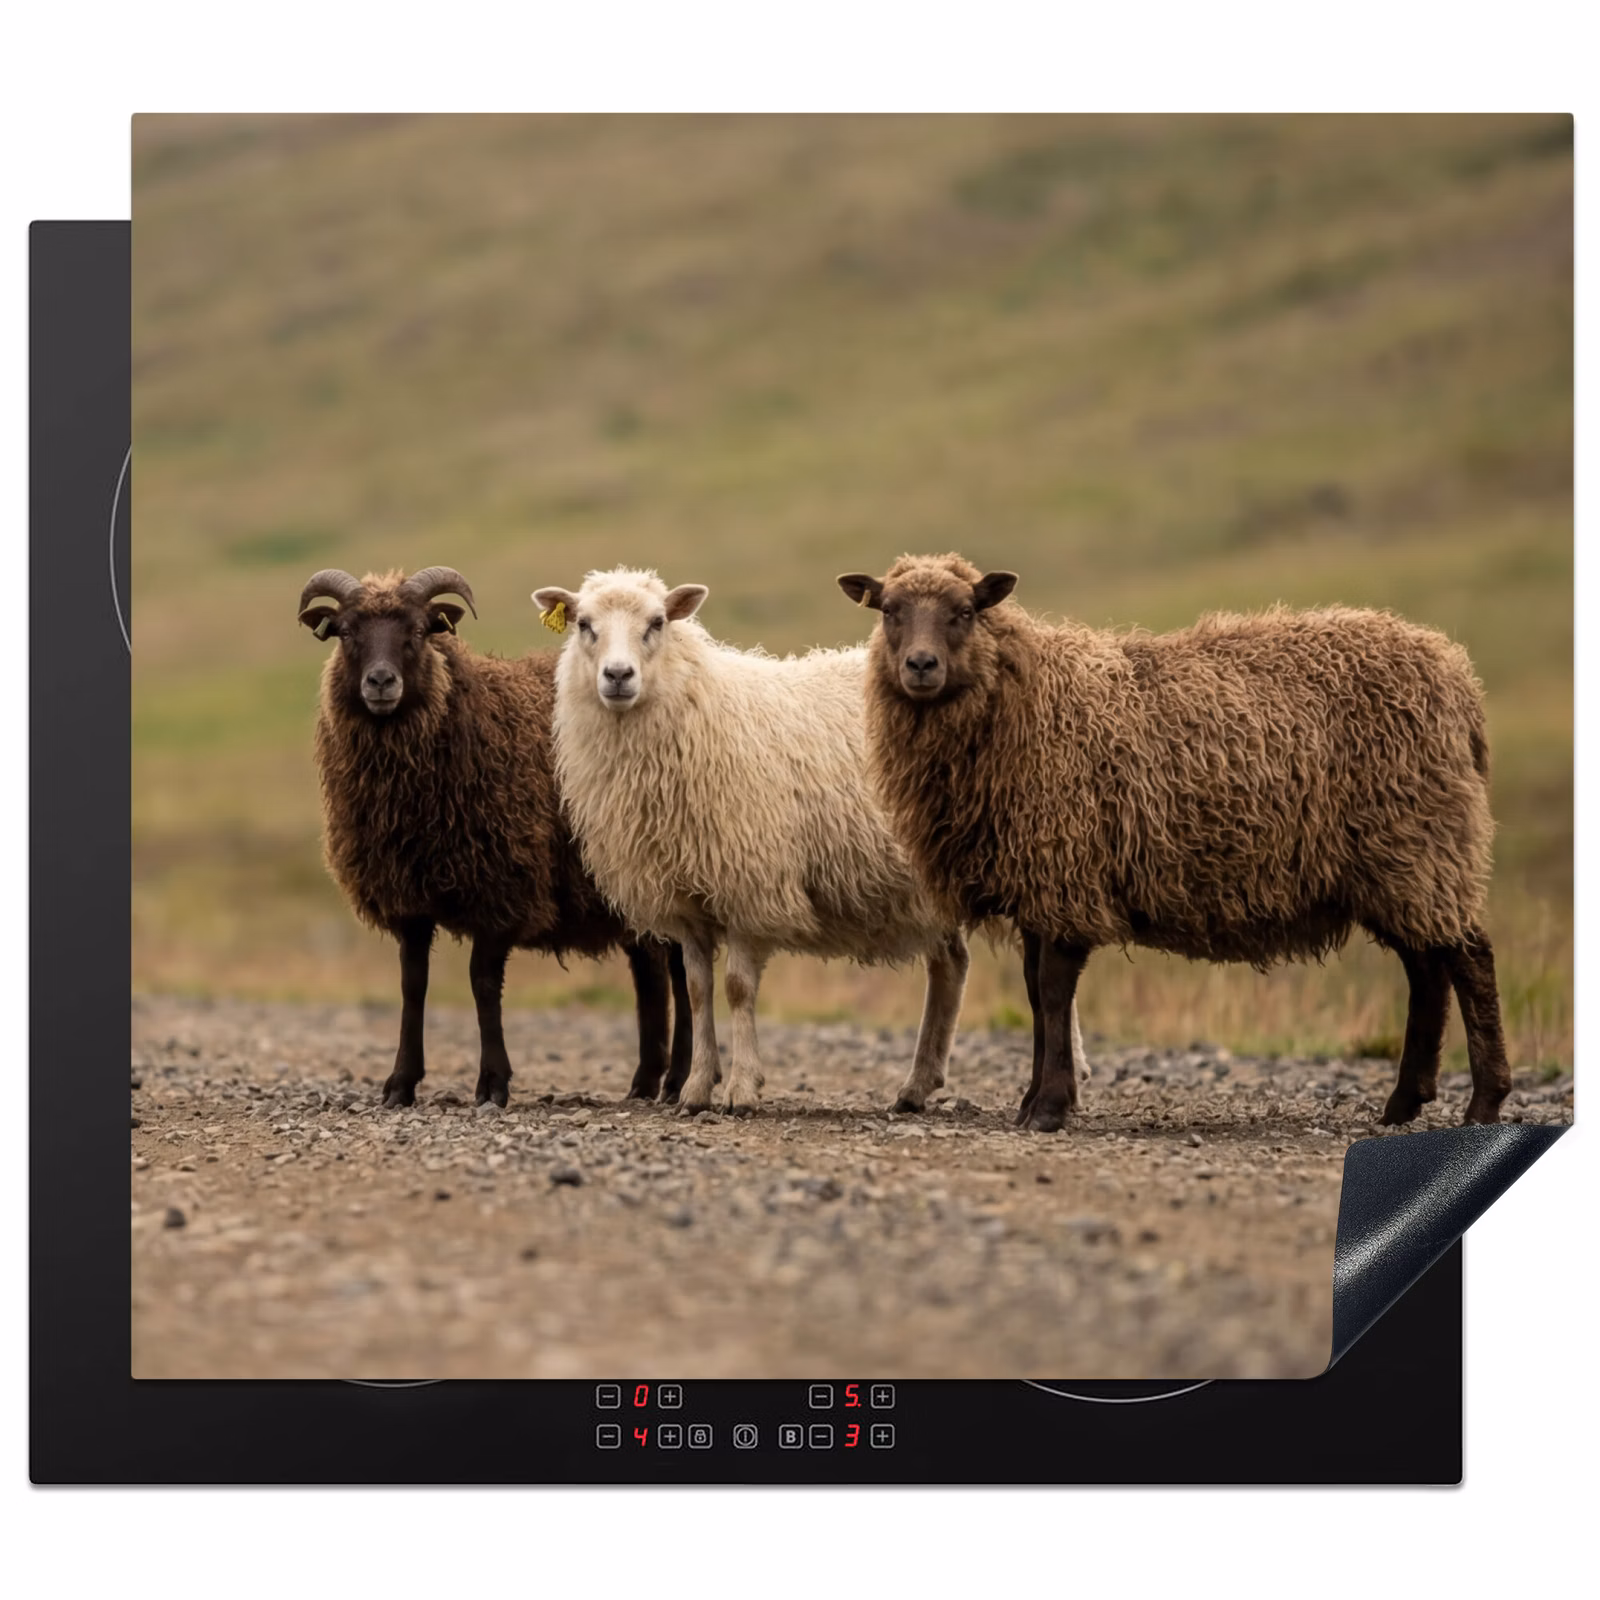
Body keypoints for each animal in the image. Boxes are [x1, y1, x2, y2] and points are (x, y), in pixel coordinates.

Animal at [298, 565, 692, 1109]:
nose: (380, 682)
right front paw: (400, 1083)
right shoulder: (409, 898)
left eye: (419, 631)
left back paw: (677, 1081)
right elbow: (412, 985)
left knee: (682, 973)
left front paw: (493, 1084)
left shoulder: (502, 887)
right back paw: (644, 1083)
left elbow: (482, 984)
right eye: (346, 631)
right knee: (649, 972)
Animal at [529, 567, 997, 1117]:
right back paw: (917, 1087)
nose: (618, 676)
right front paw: (695, 1089)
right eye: (583, 624)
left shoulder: (748, 883)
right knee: (951, 963)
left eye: (657, 622)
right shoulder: (687, 900)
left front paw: (741, 1089)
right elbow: (697, 990)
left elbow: (736, 988)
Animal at [839, 552, 1511, 1134]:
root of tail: (1458, 679)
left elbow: (1053, 994)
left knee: (1468, 960)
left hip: (1420, 842)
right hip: (1399, 861)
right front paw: (1035, 1100)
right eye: (889, 609)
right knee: (1426, 969)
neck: (1025, 700)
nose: (920, 666)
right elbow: (1034, 995)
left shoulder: (1065, 874)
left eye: (965, 610)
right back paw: (1404, 1103)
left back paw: (1484, 1103)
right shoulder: (1040, 881)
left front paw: (1049, 1108)